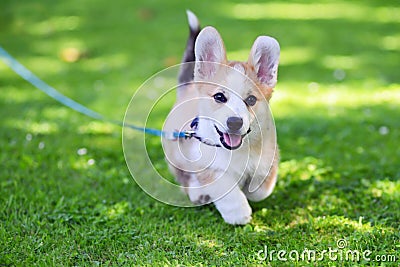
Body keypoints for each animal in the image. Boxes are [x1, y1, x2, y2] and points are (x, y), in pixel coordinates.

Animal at [161, 9, 280, 224]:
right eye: (219, 97)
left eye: (251, 99)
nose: (234, 123)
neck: (237, 151)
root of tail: (187, 87)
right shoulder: (204, 162)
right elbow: (224, 186)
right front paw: (238, 213)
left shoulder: (269, 156)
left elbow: (262, 189)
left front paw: (251, 190)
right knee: (185, 179)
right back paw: (197, 193)